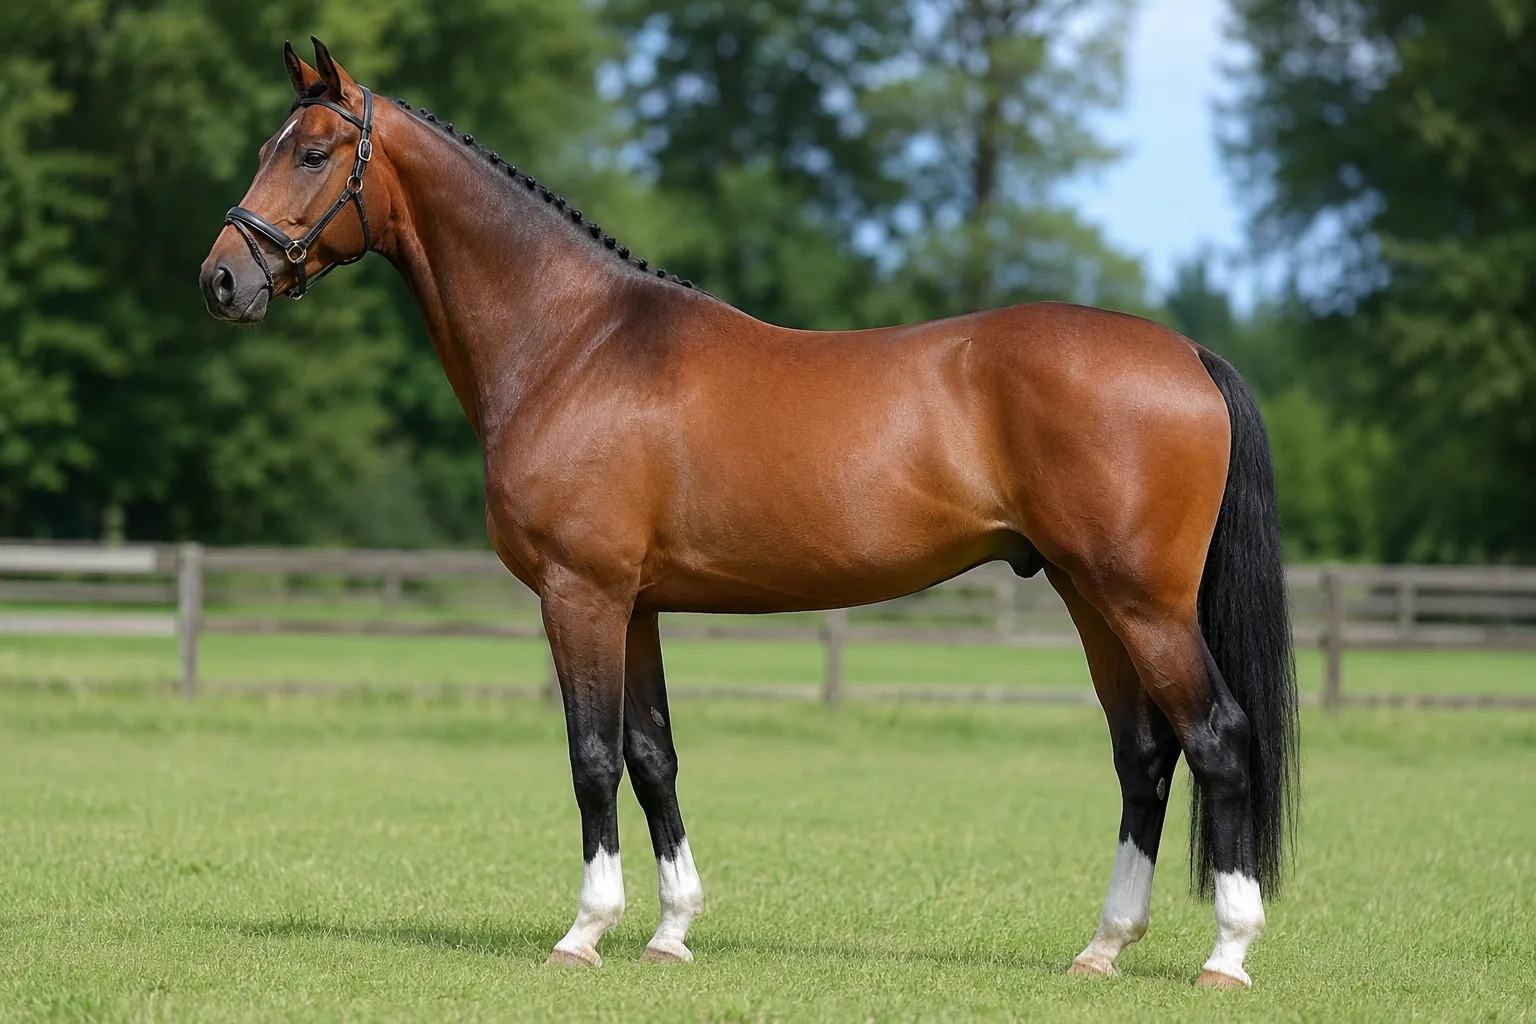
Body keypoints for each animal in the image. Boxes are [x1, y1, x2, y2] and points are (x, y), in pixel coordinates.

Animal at [201, 39, 1297, 988]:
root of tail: (1187, 354)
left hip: (1143, 602)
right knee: (1144, 755)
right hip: (1087, 594)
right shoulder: (636, 604)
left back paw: (1227, 953)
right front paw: (670, 932)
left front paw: (584, 931)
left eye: (310, 152)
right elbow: (654, 758)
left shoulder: (579, 593)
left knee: (1218, 738)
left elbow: (592, 758)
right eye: (264, 149)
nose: (221, 277)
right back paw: (1102, 948)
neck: (574, 344)